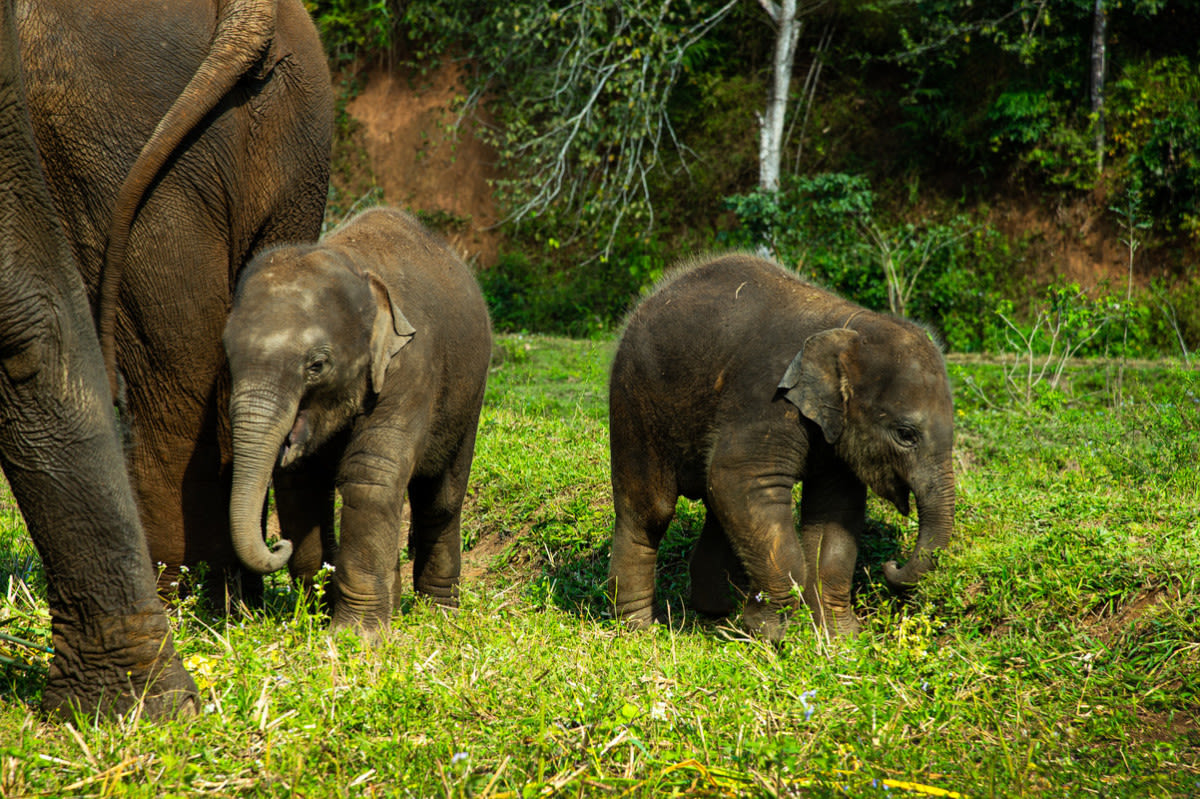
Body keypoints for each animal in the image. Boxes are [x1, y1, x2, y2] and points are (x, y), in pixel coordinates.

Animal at [223, 206, 489, 633]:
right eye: (228, 356)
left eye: (316, 365)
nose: (278, 543)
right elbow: (299, 483)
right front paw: (320, 614)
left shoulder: (410, 367)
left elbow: (370, 477)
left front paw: (356, 635)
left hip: (470, 395)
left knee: (441, 500)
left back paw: (439, 615)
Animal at [609, 255, 955, 643]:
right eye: (905, 434)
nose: (891, 565)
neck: (848, 327)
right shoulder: (767, 396)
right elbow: (740, 480)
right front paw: (774, 634)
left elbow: (835, 513)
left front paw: (839, 637)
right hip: (634, 399)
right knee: (651, 510)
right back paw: (639, 629)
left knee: (716, 506)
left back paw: (717, 616)